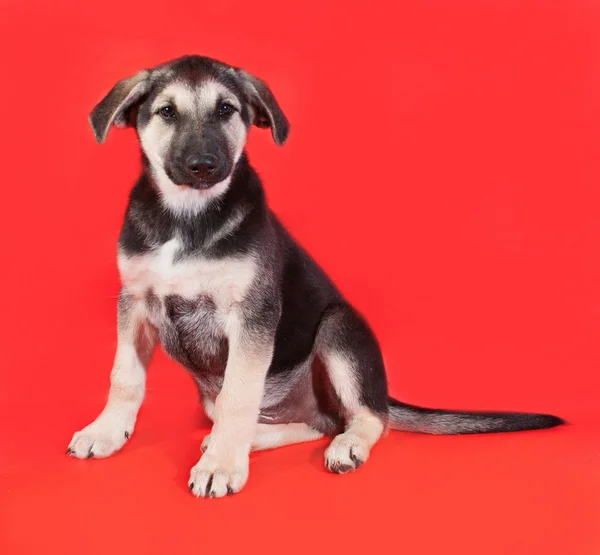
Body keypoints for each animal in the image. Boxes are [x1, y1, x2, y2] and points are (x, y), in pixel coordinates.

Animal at [68, 55, 564, 500]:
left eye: (226, 109)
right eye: (167, 112)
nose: (203, 165)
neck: (186, 217)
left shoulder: (251, 316)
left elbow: (238, 396)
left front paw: (222, 466)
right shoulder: (135, 300)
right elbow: (125, 376)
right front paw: (107, 431)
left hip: (338, 327)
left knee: (366, 418)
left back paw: (337, 446)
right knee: (315, 422)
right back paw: (244, 440)